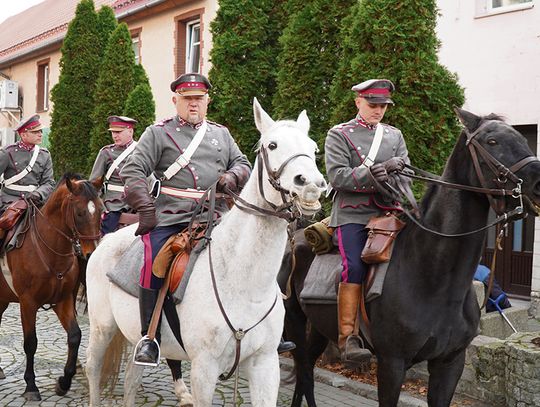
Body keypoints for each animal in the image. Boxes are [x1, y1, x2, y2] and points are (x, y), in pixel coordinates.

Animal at [0, 173, 102, 402]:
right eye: (80, 212)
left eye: (100, 210)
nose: (92, 254)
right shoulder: (27, 303)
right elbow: (31, 343)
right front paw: (31, 386)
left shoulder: (62, 301)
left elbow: (75, 336)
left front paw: (64, 381)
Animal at [85, 99, 326, 407]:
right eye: (272, 145)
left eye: (313, 148)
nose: (311, 186)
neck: (244, 282)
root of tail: (107, 240)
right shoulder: (204, 368)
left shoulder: (265, 364)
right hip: (102, 328)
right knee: (93, 368)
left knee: (131, 378)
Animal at [280, 109, 540, 407]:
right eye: (492, 141)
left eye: (523, 138)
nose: (539, 183)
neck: (433, 277)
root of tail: (296, 236)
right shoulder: (392, 363)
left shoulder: (450, 363)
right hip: (294, 323)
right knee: (303, 368)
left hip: (320, 327)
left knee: (307, 371)